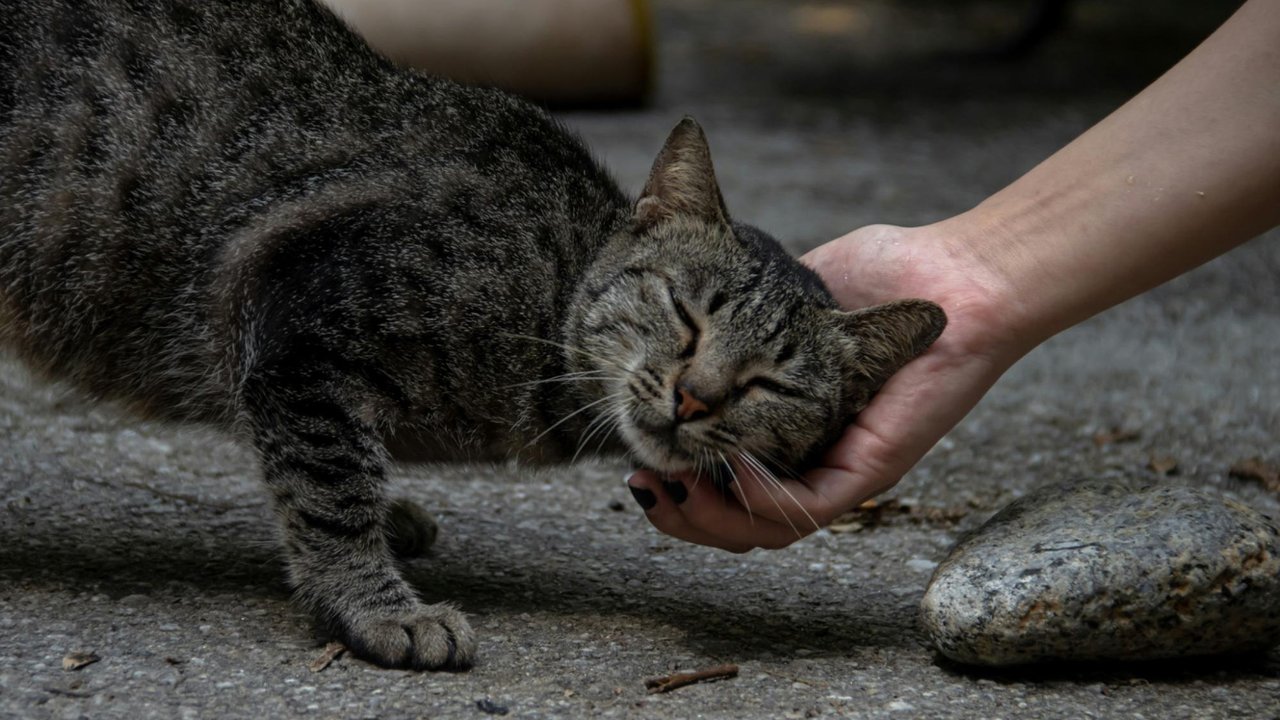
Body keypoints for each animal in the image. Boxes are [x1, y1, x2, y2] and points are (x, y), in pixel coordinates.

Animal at [0, 0, 942, 666]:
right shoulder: (296, 318)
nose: (694, 396)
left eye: (768, 383)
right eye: (686, 313)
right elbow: (330, 484)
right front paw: (376, 606)